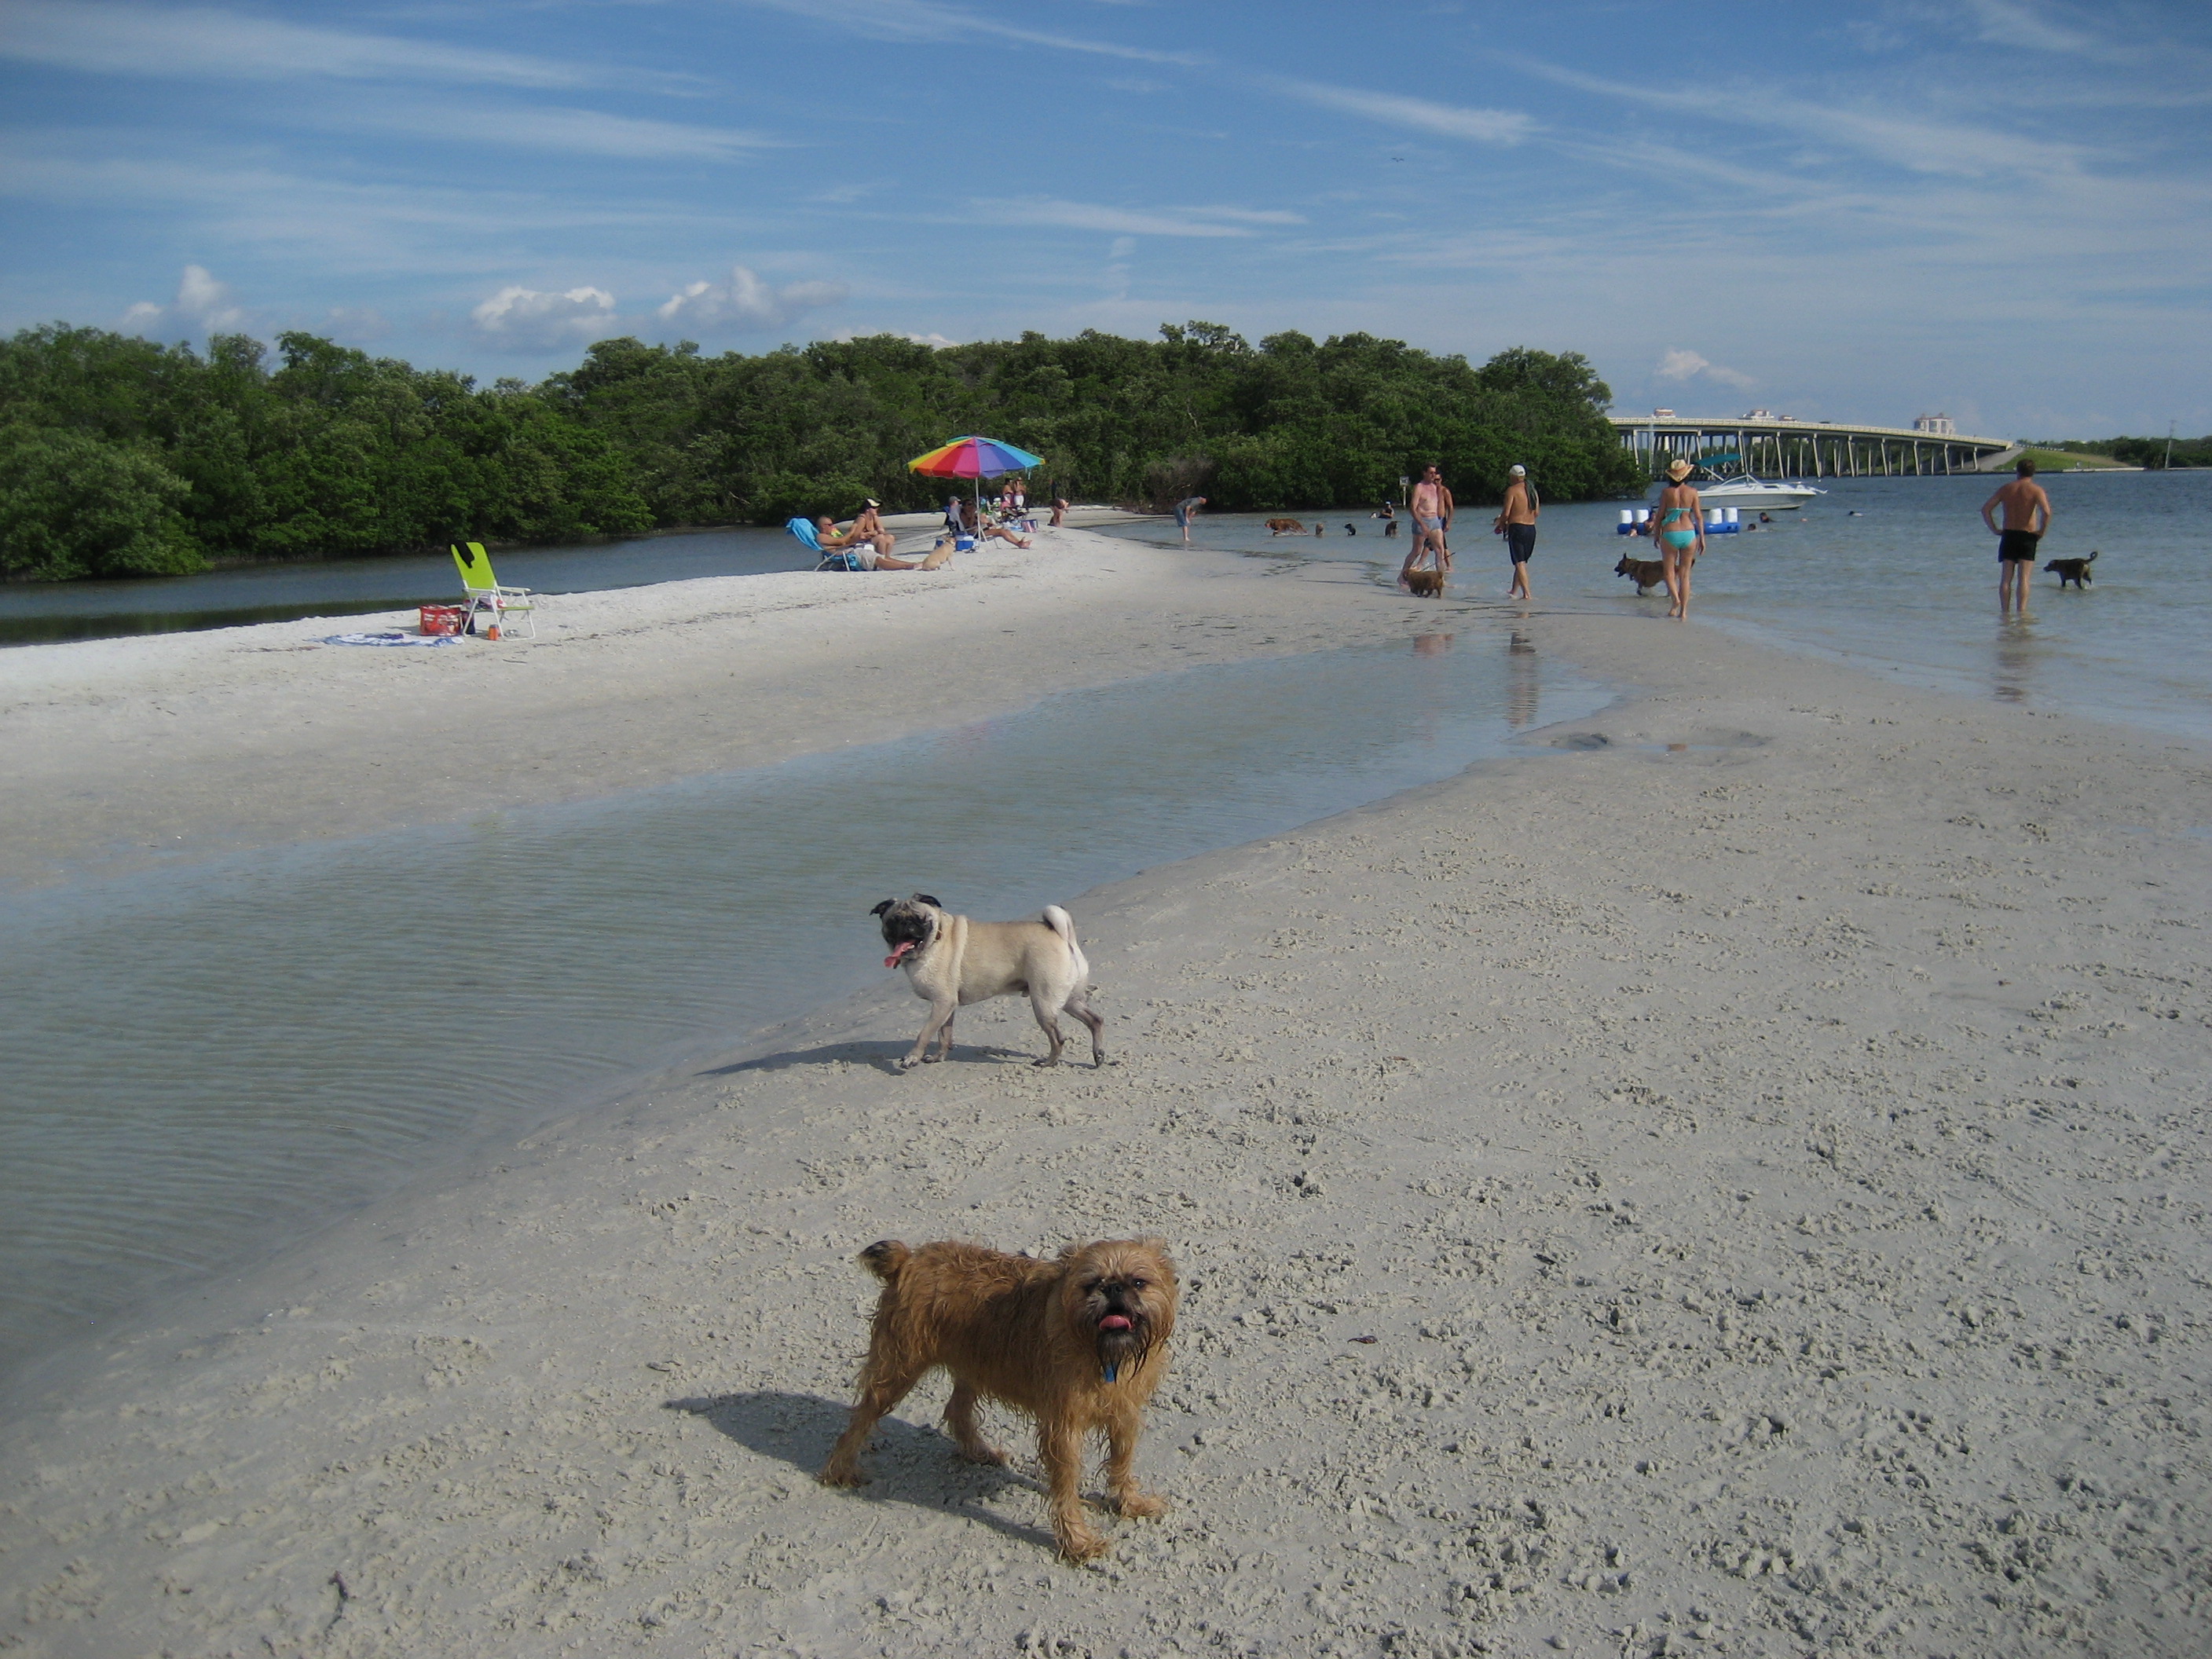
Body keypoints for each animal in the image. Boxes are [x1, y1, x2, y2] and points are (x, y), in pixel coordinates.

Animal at [822, 1238, 1177, 1566]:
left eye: (1139, 1282)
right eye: (1091, 1284)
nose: (1114, 1287)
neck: (1100, 1350)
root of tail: (908, 1259)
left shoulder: (1124, 1414)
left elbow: (1121, 1462)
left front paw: (1129, 1502)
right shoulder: (1062, 1430)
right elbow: (1066, 1488)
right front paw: (1077, 1541)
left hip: (973, 1363)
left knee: (957, 1409)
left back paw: (978, 1451)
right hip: (898, 1369)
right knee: (861, 1418)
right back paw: (840, 1470)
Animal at [866, 902, 1101, 1070]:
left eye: (921, 919)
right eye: (894, 920)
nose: (907, 926)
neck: (935, 940)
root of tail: (1064, 937)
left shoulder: (942, 1003)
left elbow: (925, 1033)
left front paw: (912, 1057)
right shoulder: (946, 1007)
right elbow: (944, 1035)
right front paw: (938, 1057)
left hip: (1043, 1003)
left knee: (1058, 1038)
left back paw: (1048, 1062)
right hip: (1070, 1000)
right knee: (1095, 1020)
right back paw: (1098, 1055)